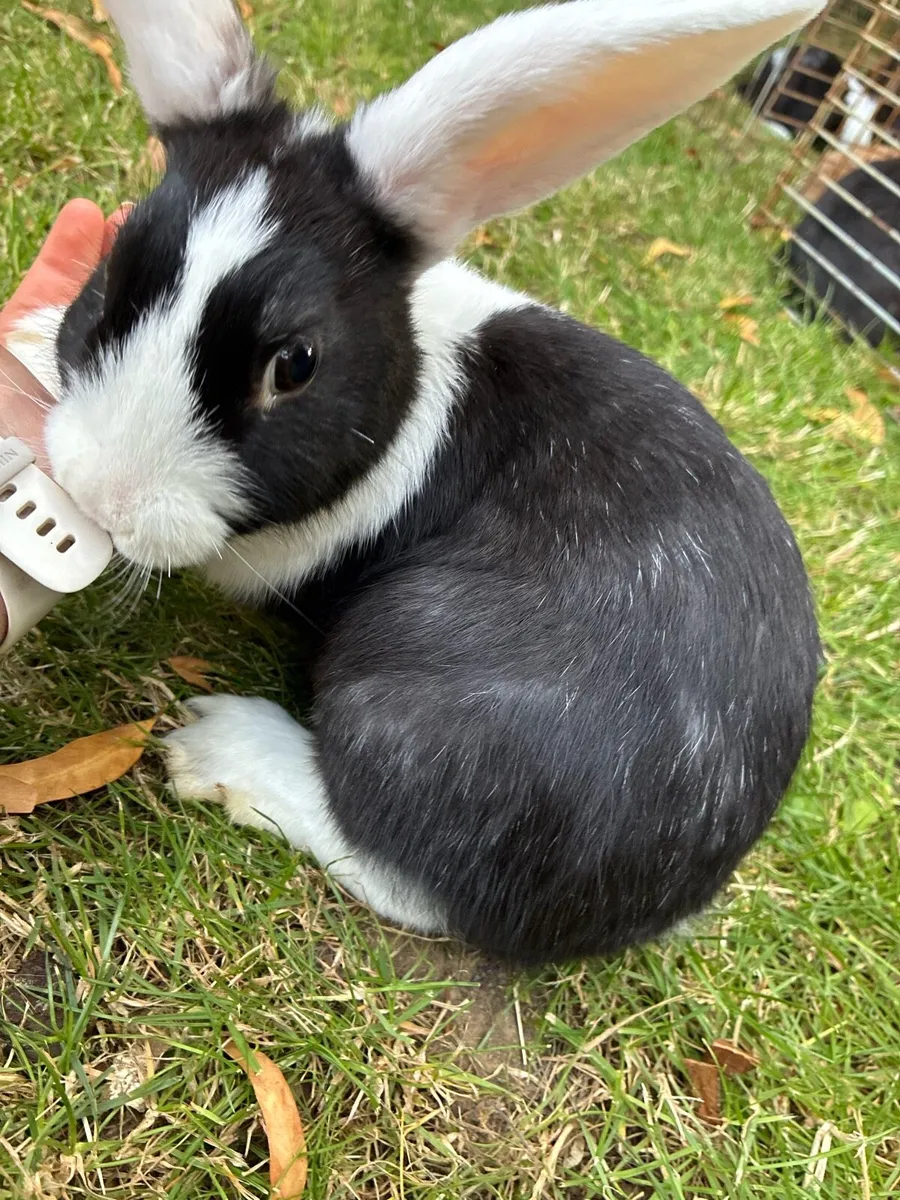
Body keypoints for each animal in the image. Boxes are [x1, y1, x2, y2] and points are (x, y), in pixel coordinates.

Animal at [40, 0, 823, 966]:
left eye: (294, 364)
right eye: (111, 277)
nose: (99, 492)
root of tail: (673, 888)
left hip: (399, 677)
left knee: (401, 867)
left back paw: (221, 749)